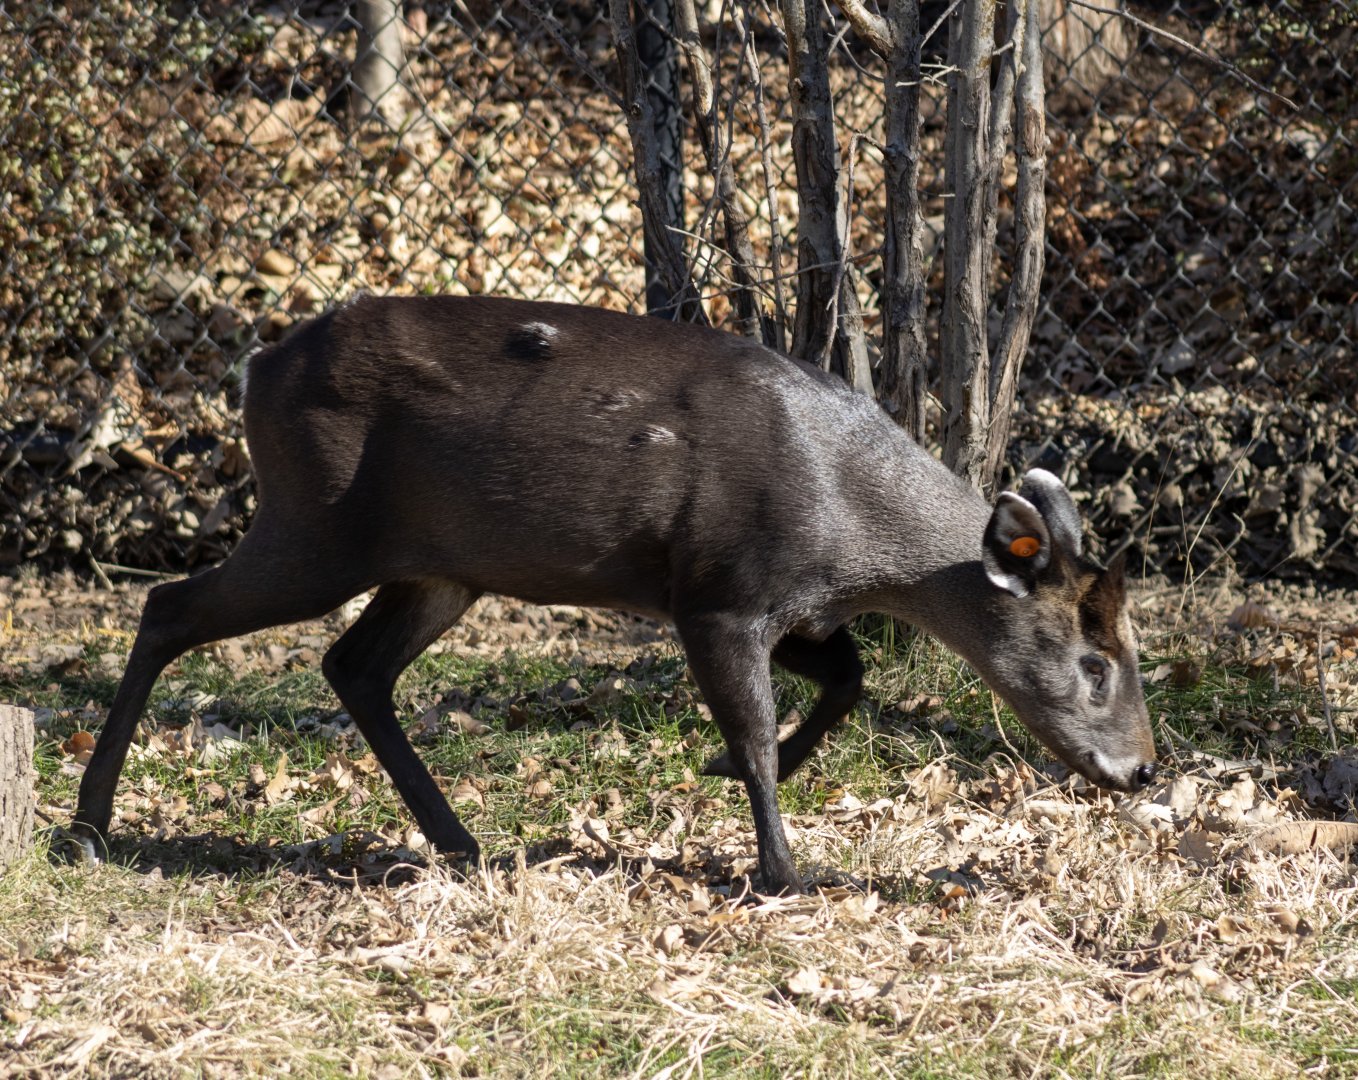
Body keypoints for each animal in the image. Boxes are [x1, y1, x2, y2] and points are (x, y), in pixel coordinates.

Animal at [70, 295, 1158, 895]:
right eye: (1093, 661)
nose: (1142, 768)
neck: (854, 534)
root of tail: (254, 367)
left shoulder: (787, 607)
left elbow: (846, 679)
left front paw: (739, 786)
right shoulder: (716, 592)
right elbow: (755, 734)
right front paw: (783, 870)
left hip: (437, 568)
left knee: (352, 664)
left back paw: (458, 839)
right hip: (315, 525)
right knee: (170, 606)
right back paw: (87, 824)